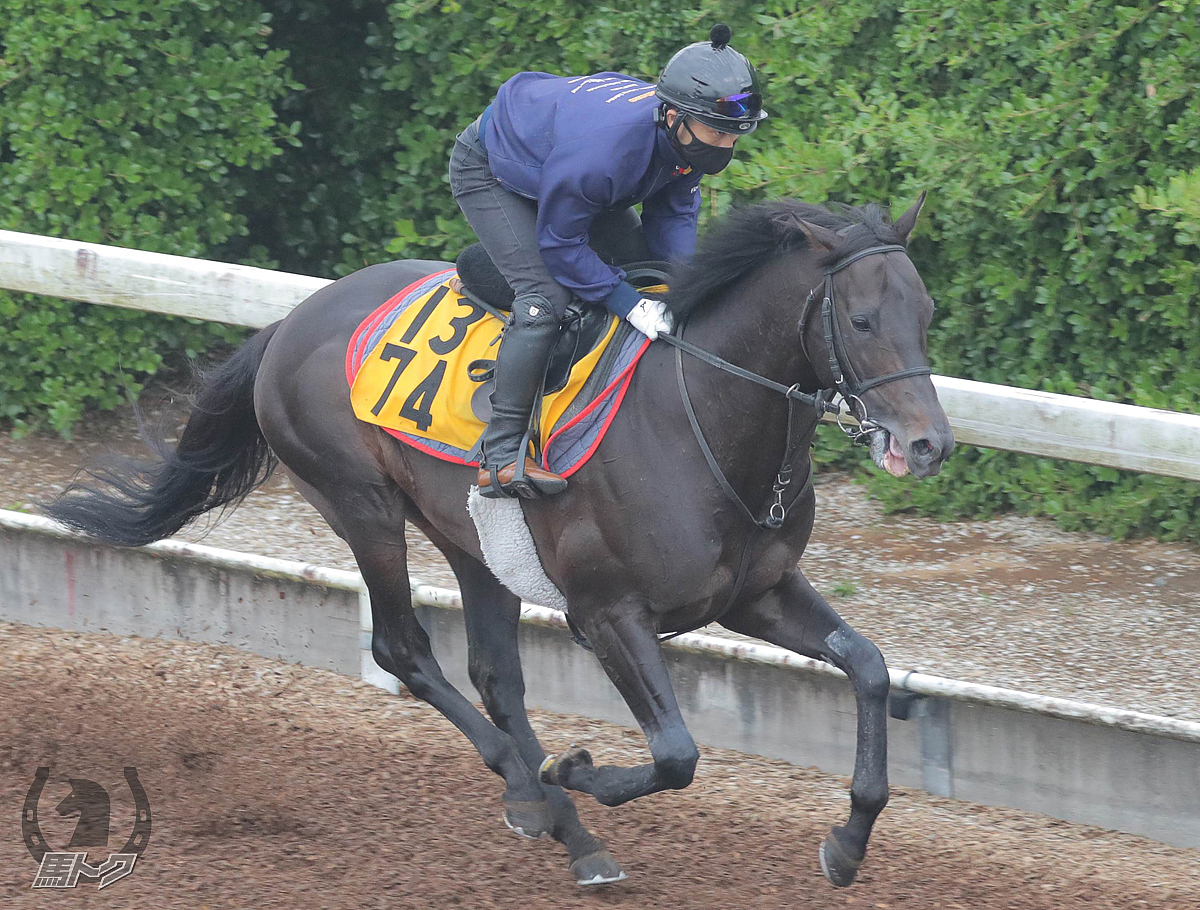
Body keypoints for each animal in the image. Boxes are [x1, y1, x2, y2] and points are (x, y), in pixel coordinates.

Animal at [46, 194, 955, 893]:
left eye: (926, 314)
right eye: (862, 319)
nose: (928, 446)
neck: (698, 417)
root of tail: (289, 322)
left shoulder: (754, 594)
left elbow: (869, 667)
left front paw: (847, 843)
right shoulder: (608, 612)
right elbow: (675, 754)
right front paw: (570, 772)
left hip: (473, 539)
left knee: (494, 674)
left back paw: (572, 834)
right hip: (362, 507)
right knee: (406, 651)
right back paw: (536, 796)